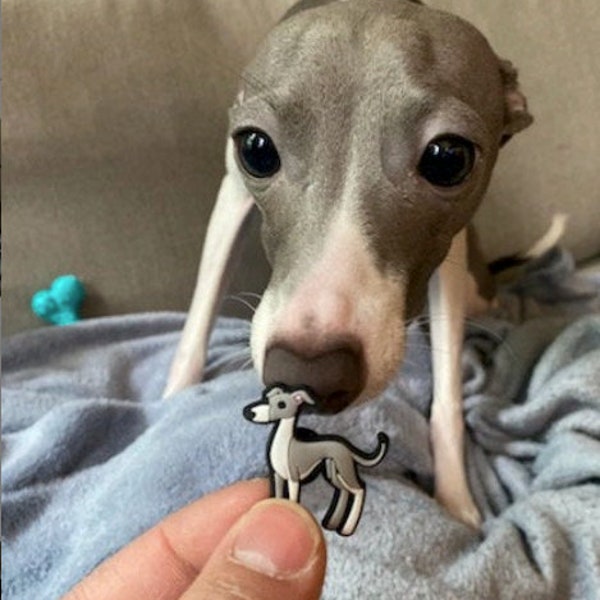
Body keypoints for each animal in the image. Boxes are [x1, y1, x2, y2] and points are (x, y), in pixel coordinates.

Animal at [244, 386, 390, 536]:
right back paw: (332, 524)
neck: (286, 445)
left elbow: (293, 500)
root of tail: (347, 448)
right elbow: (278, 496)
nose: (250, 413)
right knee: (344, 491)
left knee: (360, 489)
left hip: (345, 469)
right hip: (333, 471)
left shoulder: (293, 479)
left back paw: (347, 528)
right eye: (268, 398)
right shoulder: (277, 476)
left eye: (281, 404)